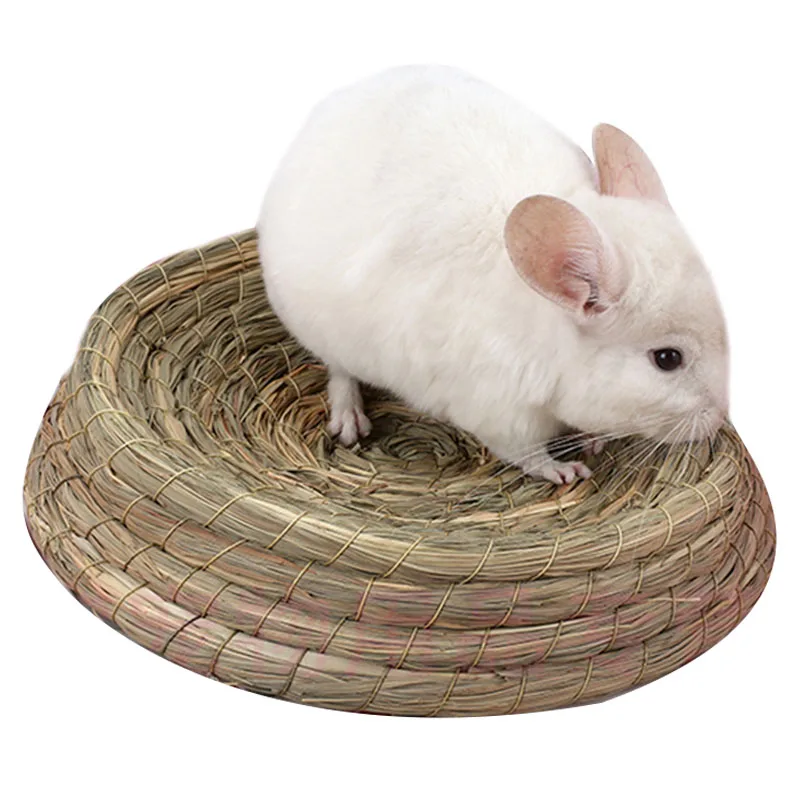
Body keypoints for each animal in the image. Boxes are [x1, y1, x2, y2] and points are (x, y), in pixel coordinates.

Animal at [256, 65, 729, 484]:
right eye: (667, 359)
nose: (721, 416)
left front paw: (593, 438)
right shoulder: (498, 414)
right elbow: (526, 454)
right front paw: (565, 471)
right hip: (321, 331)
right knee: (339, 371)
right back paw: (349, 420)